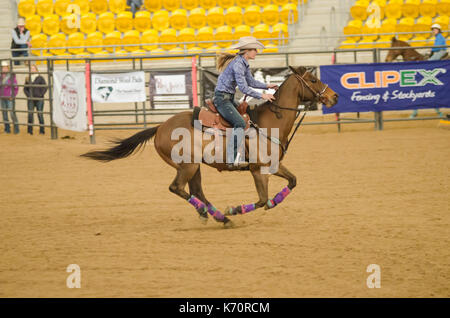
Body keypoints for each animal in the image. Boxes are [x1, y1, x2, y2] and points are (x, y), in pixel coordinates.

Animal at [82, 66, 340, 227]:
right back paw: (217, 215)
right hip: (187, 166)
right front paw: (234, 209)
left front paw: (269, 204)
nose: (335, 97)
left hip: (195, 167)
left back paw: (216, 217)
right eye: (313, 80)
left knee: (196, 191)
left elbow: (292, 182)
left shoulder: (274, 165)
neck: (268, 123)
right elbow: (260, 199)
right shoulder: (258, 170)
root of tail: (160, 127)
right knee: (177, 188)